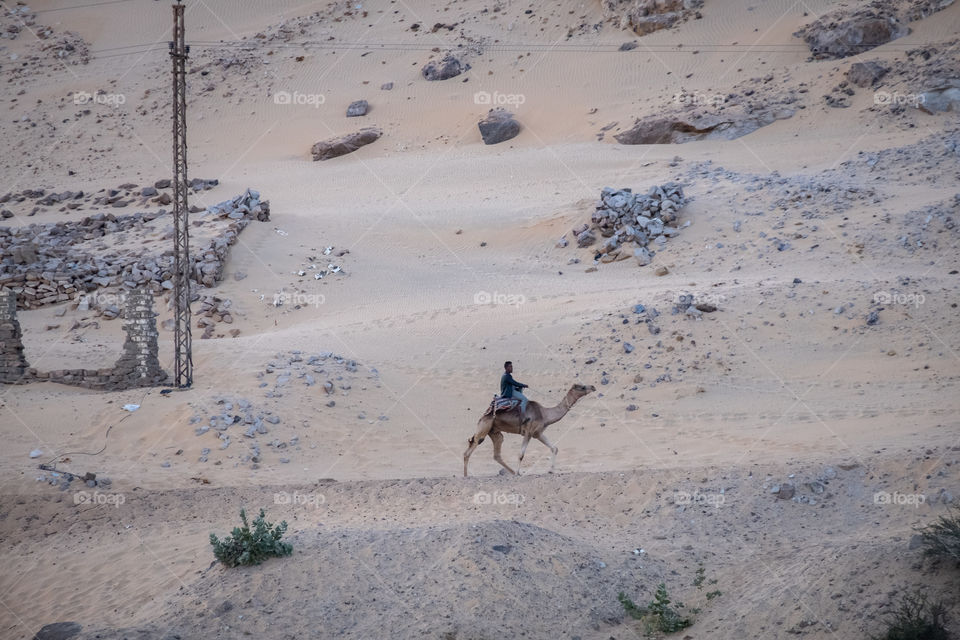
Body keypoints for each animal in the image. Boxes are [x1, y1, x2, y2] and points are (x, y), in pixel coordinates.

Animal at [463, 383, 596, 477]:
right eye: (582, 387)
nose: (593, 387)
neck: (545, 414)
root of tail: (483, 415)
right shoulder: (529, 432)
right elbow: (521, 454)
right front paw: (518, 473)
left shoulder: (538, 433)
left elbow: (554, 448)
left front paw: (551, 470)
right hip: (484, 427)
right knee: (469, 449)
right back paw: (466, 475)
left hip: (494, 431)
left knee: (497, 453)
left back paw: (511, 472)